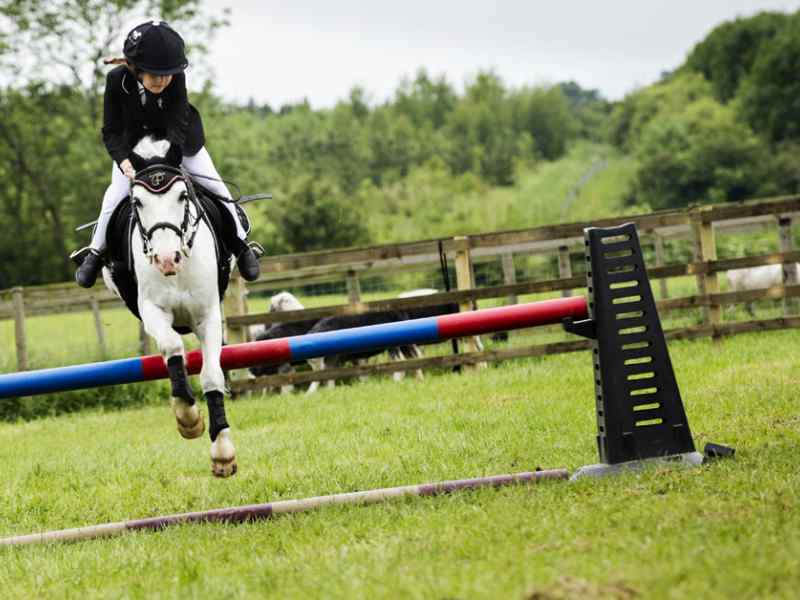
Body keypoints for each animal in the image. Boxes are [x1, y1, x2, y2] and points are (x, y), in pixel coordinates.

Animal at [102, 136, 238, 478]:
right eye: (137, 203)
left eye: (182, 196)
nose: (166, 260)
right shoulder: (152, 309)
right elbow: (172, 347)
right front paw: (188, 417)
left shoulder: (207, 315)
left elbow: (212, 375)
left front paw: (222, 452)